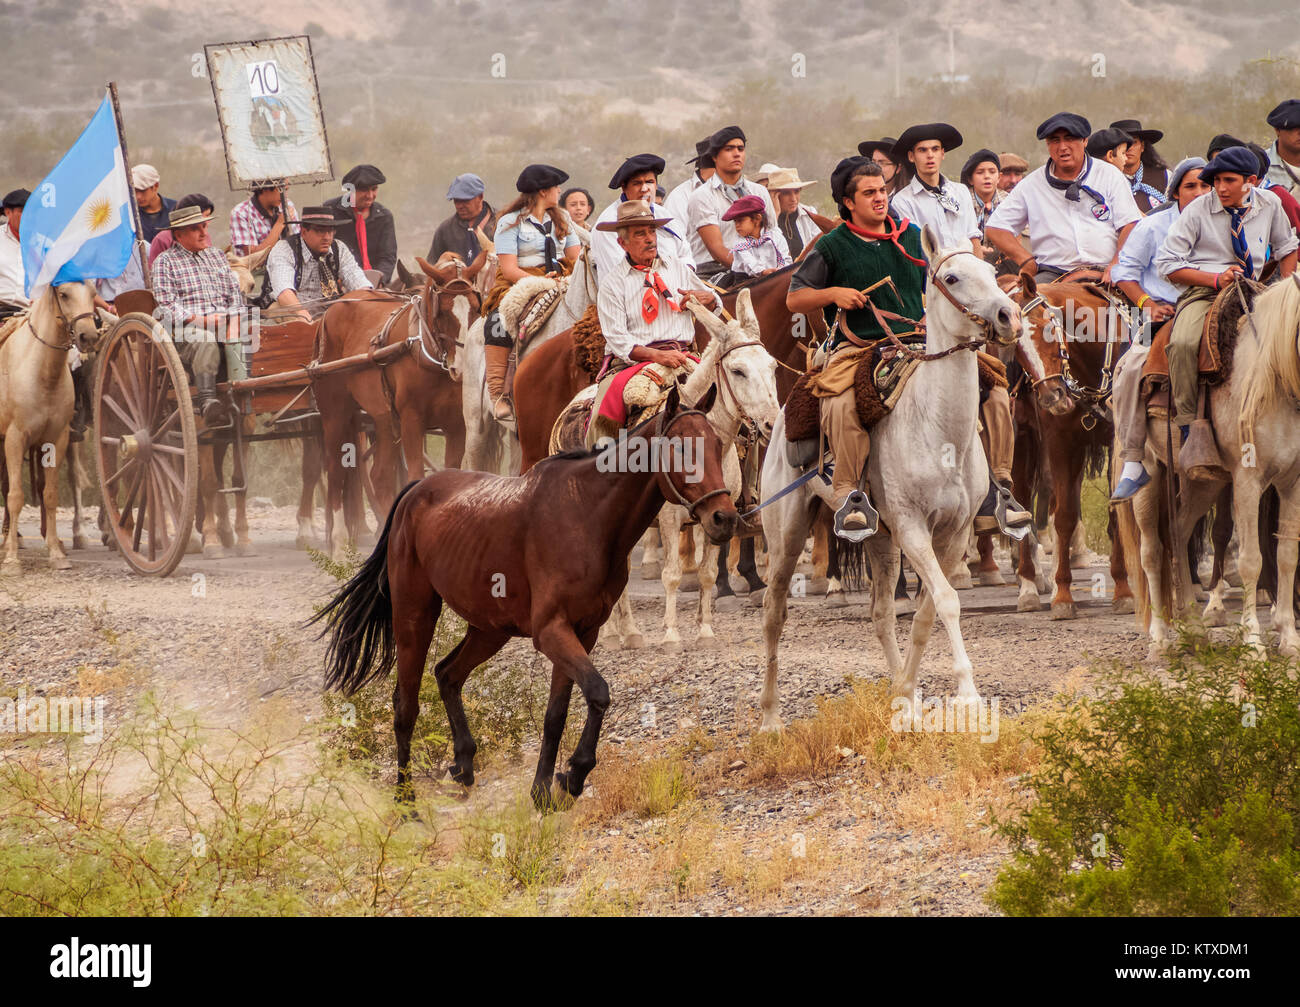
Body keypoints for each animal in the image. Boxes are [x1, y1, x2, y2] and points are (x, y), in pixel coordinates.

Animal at [0, 283, 101, 571]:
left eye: (92, 291)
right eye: (64, 294)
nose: (88, 335)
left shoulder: (58, 438)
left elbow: (50, 494)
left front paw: (56, 553)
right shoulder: (14, 438)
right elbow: (15, 496)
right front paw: (12, 558)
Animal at [314, 259, 483, 558]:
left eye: (475, 307)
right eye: (443, 312)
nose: (461, 370)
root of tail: (332, 309)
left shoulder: (456, 426)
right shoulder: (412, 421)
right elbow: (414, 476)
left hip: (383, 419)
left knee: (379, 476)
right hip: (335, 413)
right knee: (335, 470)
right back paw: (338, 545)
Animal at [314, 384, 738, 810]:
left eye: (719, 445)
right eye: (681, 448)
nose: (725, 518)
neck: (587, 516)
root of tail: (413, 491)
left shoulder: (582, 633)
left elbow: (556, 715)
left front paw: (544, 789)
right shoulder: (551, 632)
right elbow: (598, 693)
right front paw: (574, 774)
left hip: (489, 630)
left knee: (448, 674)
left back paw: (463, 764)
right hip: (414, 616)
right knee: (406, 705)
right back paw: (406, 803)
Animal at [759, 226, 1019, 732]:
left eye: (991, 270)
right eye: (952, 277)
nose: (1008, 316)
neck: (938, 430)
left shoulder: (954, 534)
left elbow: (925, 613)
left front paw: (908, 695)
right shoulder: (913, 527)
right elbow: (947, 602)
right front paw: (970, 697)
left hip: (880, 537)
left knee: (881, 614)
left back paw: (903, 698)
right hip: (786, 533)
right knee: (774, 613)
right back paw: (770, 719)